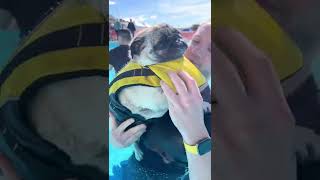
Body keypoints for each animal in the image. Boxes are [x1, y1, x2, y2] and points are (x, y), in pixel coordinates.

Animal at [116, 23, 211, 160]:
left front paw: (203, 104)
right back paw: (138, 152)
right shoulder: (152, 97)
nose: (178, 40)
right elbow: (168, 94)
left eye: (179, 34)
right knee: (135, 142)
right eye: (161, 43)